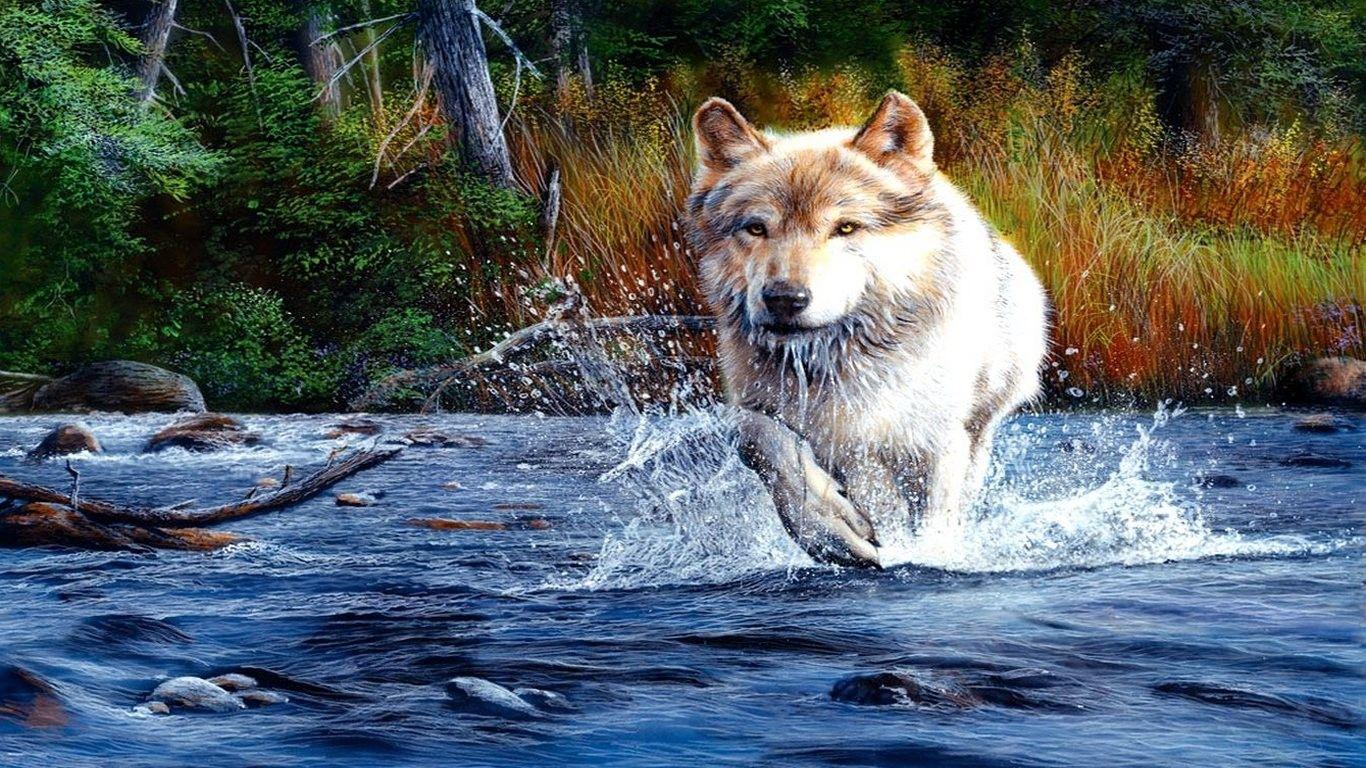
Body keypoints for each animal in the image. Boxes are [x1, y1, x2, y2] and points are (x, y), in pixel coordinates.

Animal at [685, 91, 1048, 567]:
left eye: (846, 227)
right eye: (756, 228)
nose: (784, 298)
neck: (839, 361)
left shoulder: (932, 439)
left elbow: (929, 524)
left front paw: (921, 556)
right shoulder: (771, 411)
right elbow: (755, 440)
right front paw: (832, 534)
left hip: (977, 426)